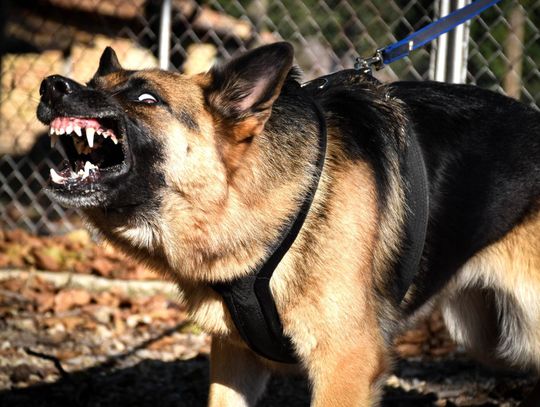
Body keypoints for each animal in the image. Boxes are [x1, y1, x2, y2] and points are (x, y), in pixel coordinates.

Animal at [38, 43, 540, 406]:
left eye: (146, 99)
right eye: (94, 83)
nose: (52, 86)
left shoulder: (345, 367)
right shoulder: (235, 360)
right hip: (491, 337)